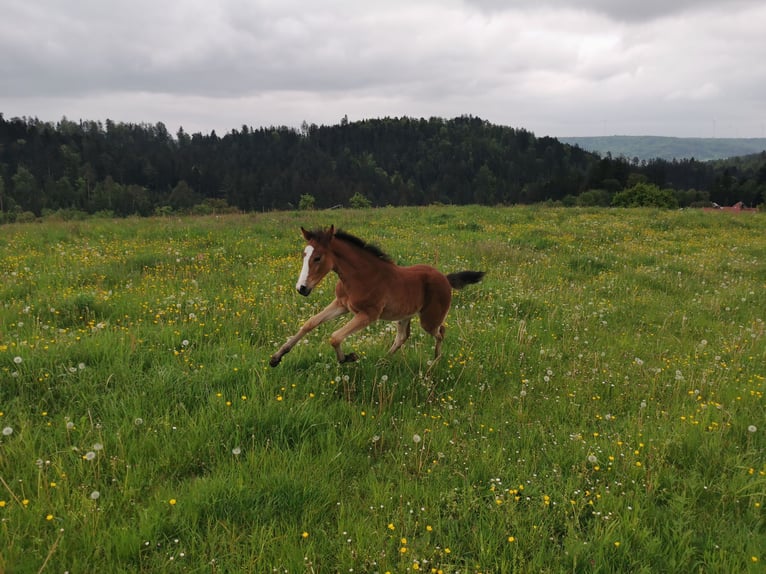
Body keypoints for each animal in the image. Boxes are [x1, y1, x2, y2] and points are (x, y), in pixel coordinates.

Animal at [269, 225, 484, 367]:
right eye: (303, 255)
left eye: (318, 258)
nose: (302, 288)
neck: (359, 276)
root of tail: (445, 279)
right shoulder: (341, 304)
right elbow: (310, 323)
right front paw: (276, 357)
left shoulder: (368, 314)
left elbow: (335, 337)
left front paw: (347, 358)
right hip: (404, 315)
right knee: (403, 337)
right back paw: (383, 361)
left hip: (429, 319)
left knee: (441, 331)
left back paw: (434, 362)